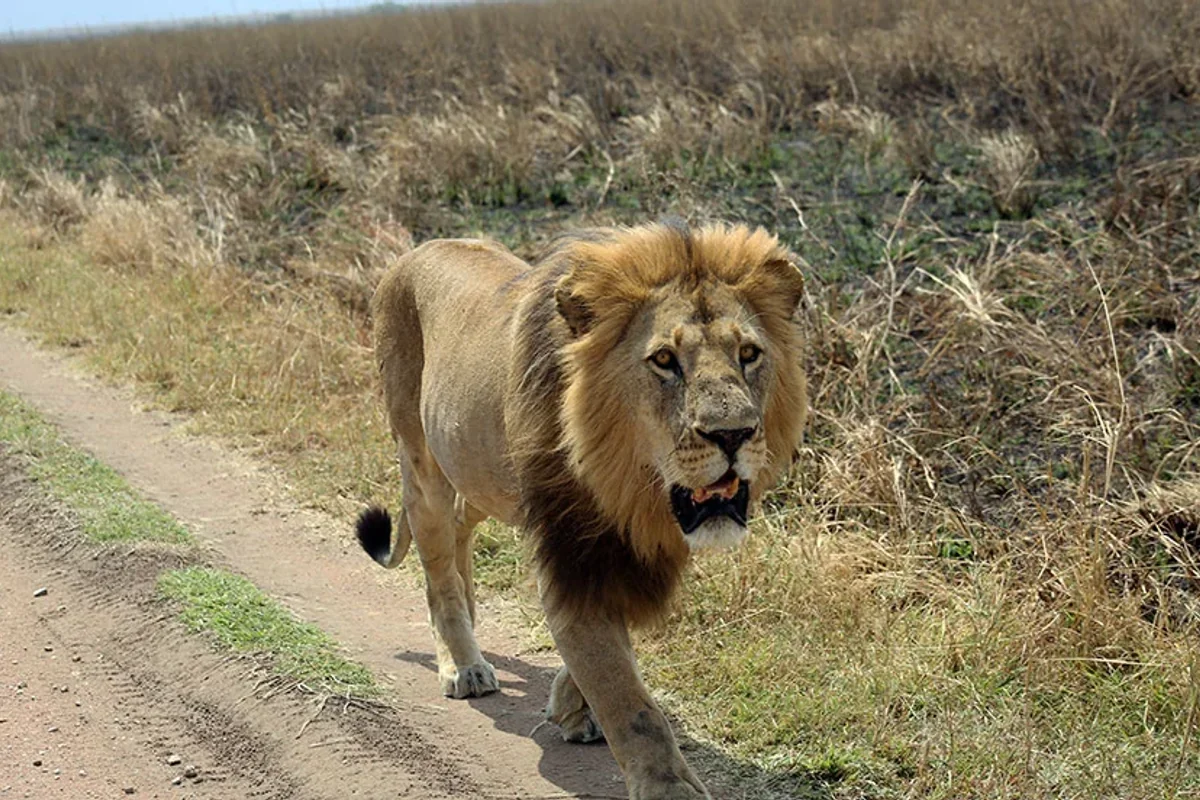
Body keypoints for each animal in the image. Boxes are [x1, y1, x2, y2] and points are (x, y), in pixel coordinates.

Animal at [355, 219, 807, 800]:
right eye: (665, 360)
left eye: (748, 354)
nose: (733, 434)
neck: (633, 484)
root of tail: (414, 252)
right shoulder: (570, 546)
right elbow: (626, 695)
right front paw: (668, 786)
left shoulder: (640, 541)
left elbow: (609, 651)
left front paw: (572, 707)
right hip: (422, 458)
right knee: (436, 561)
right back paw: (462, 661)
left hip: (478, 471)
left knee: (459, 529)